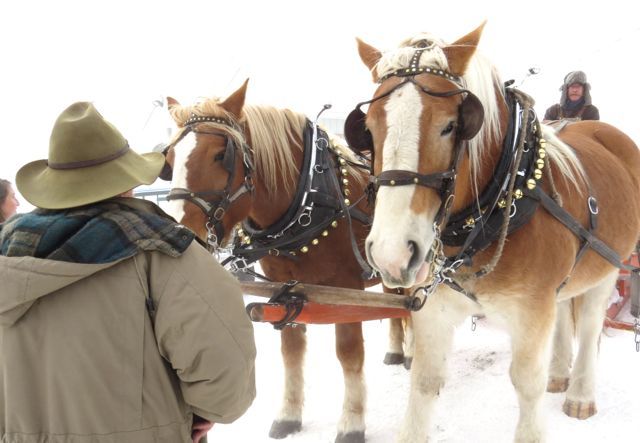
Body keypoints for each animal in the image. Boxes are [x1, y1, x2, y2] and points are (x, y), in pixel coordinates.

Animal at [158, 80, 412, 443]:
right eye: (168, 160)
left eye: (222, 155)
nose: (184, 231)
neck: (307, 198)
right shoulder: (286, 290)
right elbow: (290, 353)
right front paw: (289, 416)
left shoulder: (345, 284)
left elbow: (349, 353)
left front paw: (352, 422)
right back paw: (395, 351)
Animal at [344, 21, 640, 443]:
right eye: (367, 130)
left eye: (451, 125)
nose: (392, 253)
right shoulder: (433, 308)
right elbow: (424, 382)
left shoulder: (532, 309)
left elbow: (527, 383)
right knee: (565, 311)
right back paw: (559, 374)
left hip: (609, 264)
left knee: (589, 321)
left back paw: (580, 393)